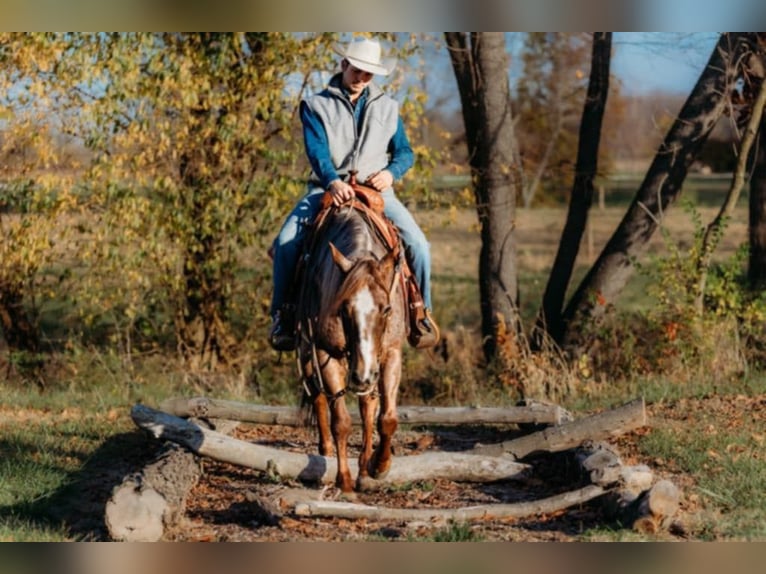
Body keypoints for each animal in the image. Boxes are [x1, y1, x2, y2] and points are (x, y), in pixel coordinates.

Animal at [296, 188, 412, 496]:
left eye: (386, 309)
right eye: (343, 309)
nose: (362, 377)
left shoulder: (390, 353)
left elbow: (386, 417)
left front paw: (379, 466)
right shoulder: (327, 353)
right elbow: (341, 422)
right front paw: (344, 480)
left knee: (368, 405)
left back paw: (365, 465)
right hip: (311, 353)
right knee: (318, 396)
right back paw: (326, 450)